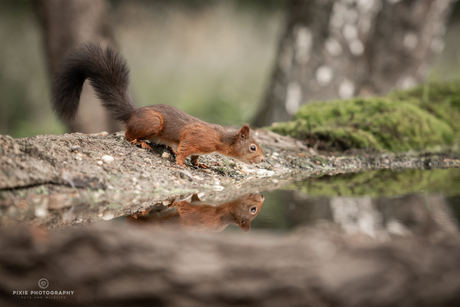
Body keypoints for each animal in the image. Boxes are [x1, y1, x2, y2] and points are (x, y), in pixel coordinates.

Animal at [51, 43, 264, 168]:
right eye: (253, 147)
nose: (263, 159)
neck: (221, 139)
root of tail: (133, 114)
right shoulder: (195, 137)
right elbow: (185, 149)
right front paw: (181, 163)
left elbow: (195, 157)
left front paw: (199, 164)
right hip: (152, 122)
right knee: (128, 135)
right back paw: (141, 142)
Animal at [127, 192, 264, 233]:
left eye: (253, 210)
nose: (262, 196)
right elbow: (195, 198)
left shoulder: (204, 215)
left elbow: (186, 211)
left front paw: (179, 202)